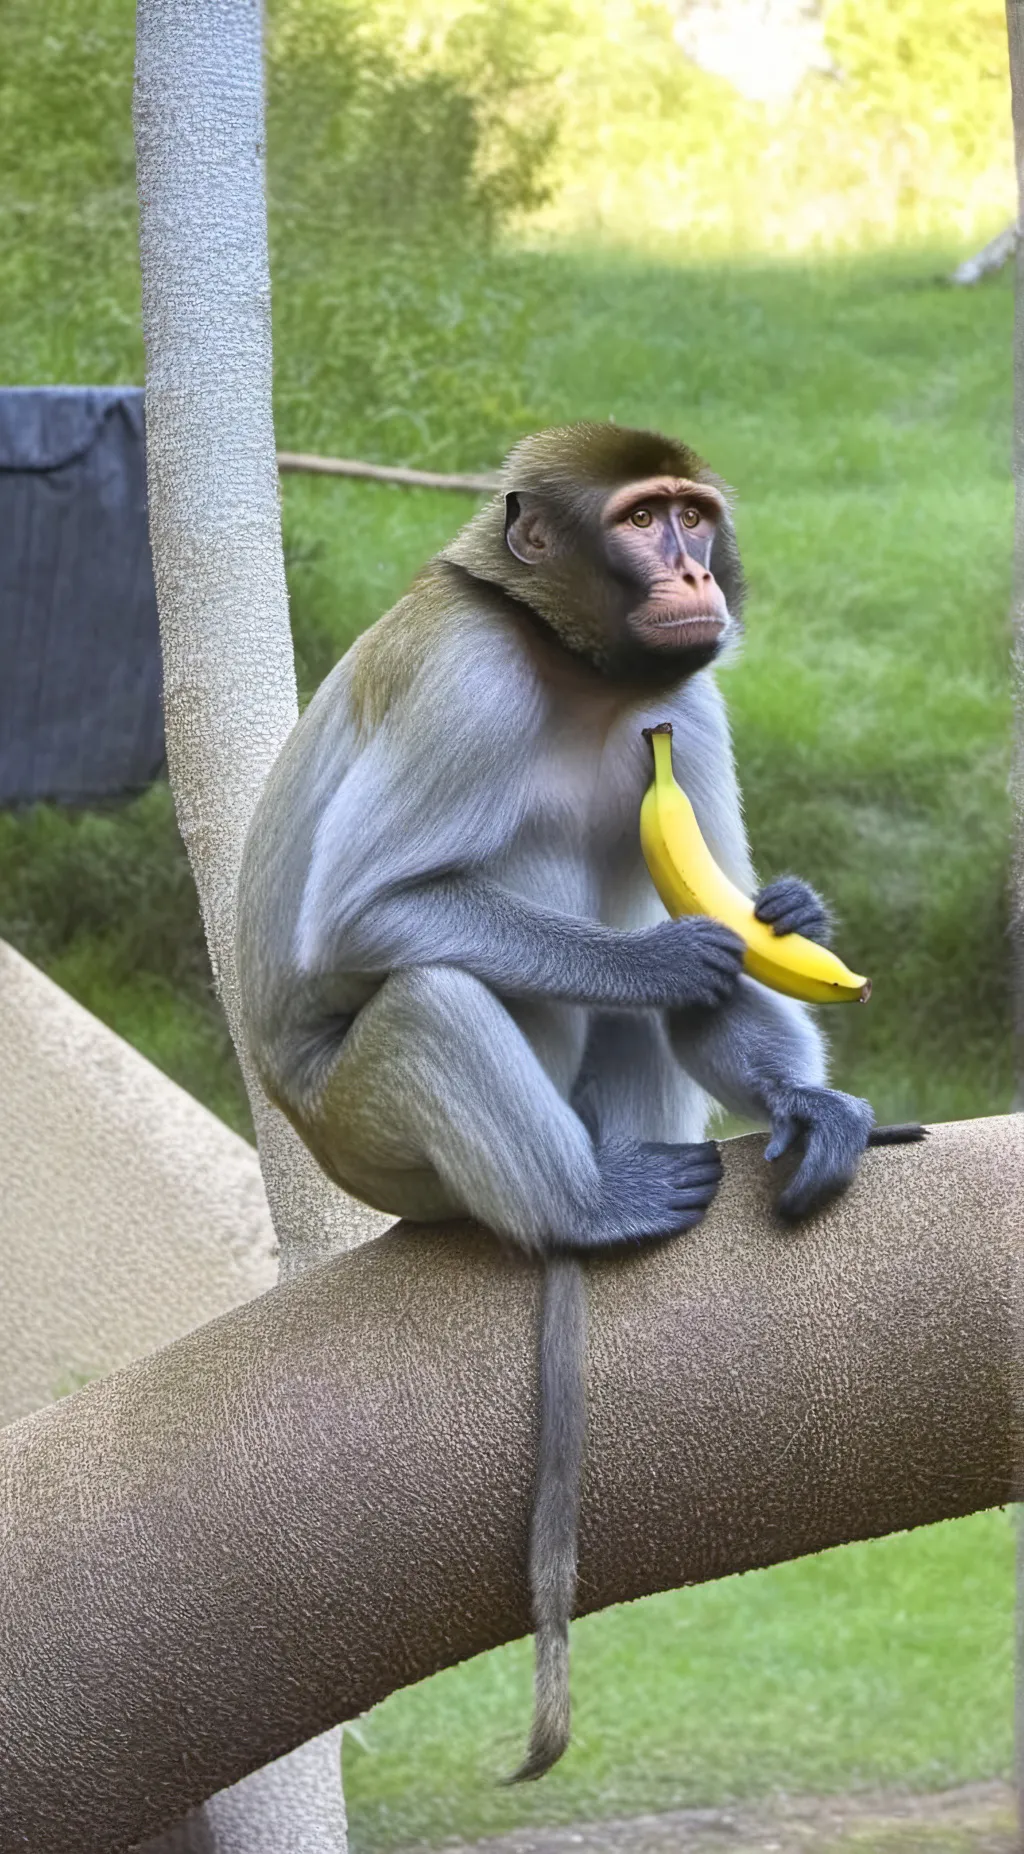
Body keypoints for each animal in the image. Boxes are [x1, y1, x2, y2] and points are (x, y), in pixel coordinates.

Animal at [235, 420, 898, 1782]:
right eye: (643, 521)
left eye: (694, 516)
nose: (692, 573)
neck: (580, 676)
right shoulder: (474, 680)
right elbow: (364, 919)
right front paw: (674, 957)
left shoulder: (678, 704)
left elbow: (718, 910)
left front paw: (797, 1053)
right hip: (362, 1131)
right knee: (437, 987)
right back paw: (578, 1207)